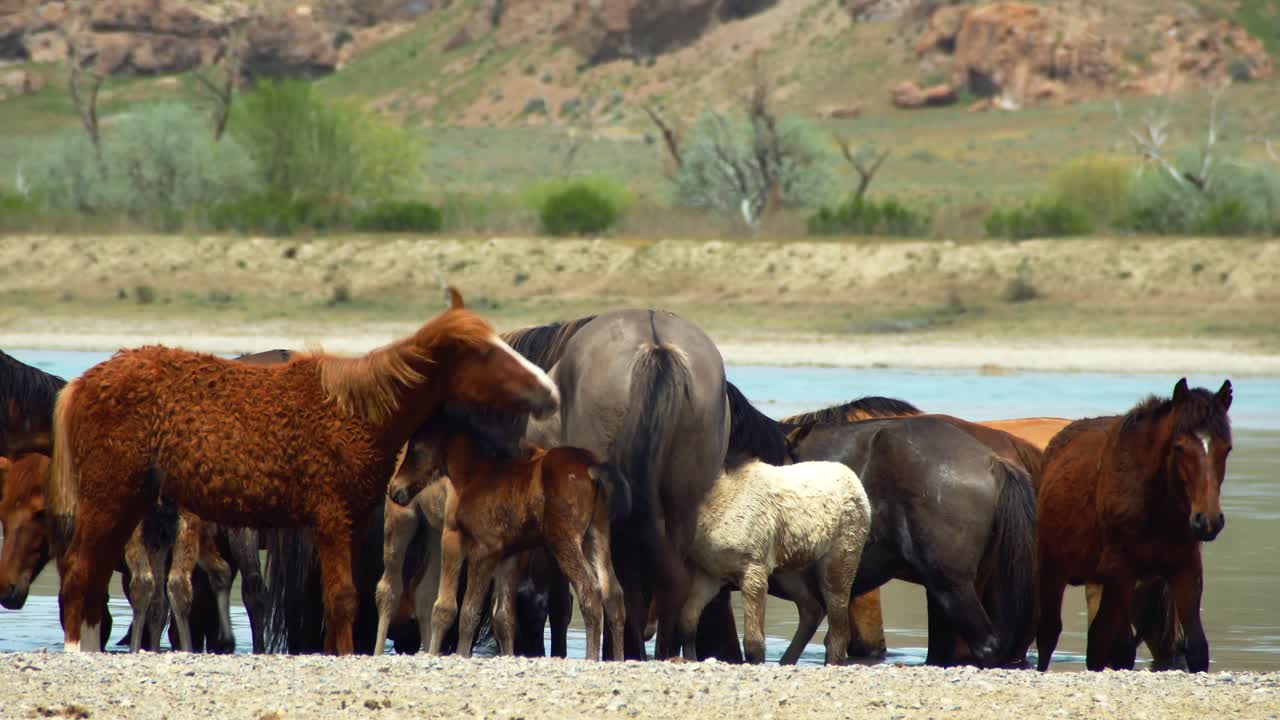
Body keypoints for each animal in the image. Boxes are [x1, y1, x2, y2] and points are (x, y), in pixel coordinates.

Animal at [48, 288, 559, 654]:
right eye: (485, 353)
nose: (549, 392)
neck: (355, 412)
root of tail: (82, 383)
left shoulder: (344, 526)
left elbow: (339, 603)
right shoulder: (331, 520)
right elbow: (344, 600)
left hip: (127, 505)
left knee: (95, 577)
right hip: (110, 501)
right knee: (80, 572)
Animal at [386, 408, 631, 661]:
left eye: (415, 449)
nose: (395, 490)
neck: (475, 475)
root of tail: (593, 467)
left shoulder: (482, 551)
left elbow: (468, 612)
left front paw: (461, 654)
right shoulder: (507, 556)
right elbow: (503, 616)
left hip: (564, 540)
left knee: (590, 591)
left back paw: (591, 657)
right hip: (597, 535)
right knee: (613, 594)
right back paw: (618, 658)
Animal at [680, 455, 870, 665]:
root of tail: (855, 480)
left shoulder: (753, 569)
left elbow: (753, 641)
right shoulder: (710, 573)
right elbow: (688, 621)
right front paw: (689, 659)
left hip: (839, 560)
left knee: (837, 623)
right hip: (788, 570)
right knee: (812, 609)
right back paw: (786, 661)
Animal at [1036, 378, 1232, 673]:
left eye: (1227, 448)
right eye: (1179, 447)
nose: (1207, 521)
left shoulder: (1186, 569)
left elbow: (1198, 648)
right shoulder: (1122, 572)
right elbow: (1114, 646)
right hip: (1054, 569)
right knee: (1051, 634)